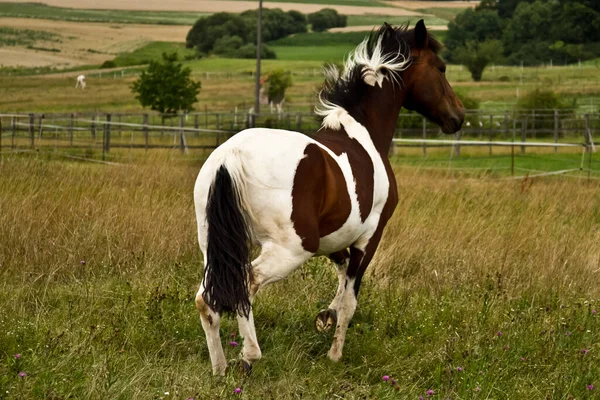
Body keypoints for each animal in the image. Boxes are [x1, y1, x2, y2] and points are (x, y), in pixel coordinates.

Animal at [192, 19, 464, 376]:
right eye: (441, 68)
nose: (457, 118)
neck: (364, 132)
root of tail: (231, 157)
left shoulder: (333, 238)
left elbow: (342, 274)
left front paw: (325, 316)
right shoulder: (369, 237)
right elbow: (351, 298)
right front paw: (334, 353)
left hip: (214, 246)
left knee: (205, 298)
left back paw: (220, 368)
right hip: (291, 249)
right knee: (246, 283)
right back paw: (250, 356)